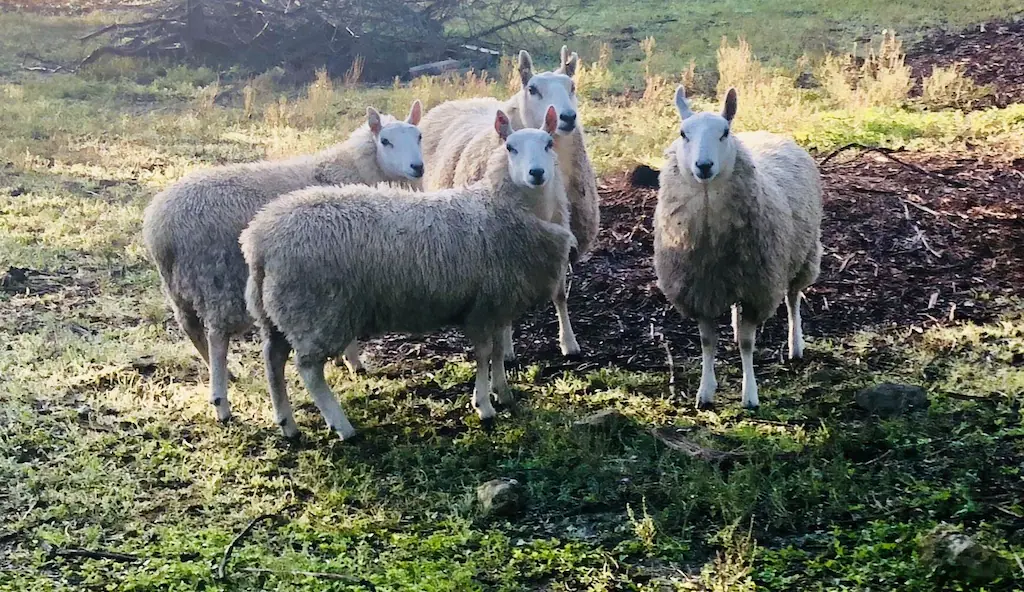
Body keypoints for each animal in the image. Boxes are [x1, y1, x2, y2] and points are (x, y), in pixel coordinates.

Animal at [142, 101, 424, 423]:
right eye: (386, 141)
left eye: (419, 137)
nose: (418, 167)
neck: (354, 167)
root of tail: (159, 225)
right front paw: (355, 363)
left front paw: (344, 360)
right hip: (215, 278)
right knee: (216, 337)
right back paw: (221, 402)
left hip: (179, 285)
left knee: (191, 328)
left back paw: (225, 375)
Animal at [240, 106, 575, 440]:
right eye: (510, 148)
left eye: (548, 144)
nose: (536, 173)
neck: (501, 206)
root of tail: (259, 237)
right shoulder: (482, 307)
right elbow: (482, 354)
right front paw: (484, 406)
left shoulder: (497, 304)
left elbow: (496, 352)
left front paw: (503, 393)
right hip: (314, 310)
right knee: (307, 369)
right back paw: (341, 426)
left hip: (277, 312)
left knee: (272, 360)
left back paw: (287, 423)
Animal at [417, 46, 600, 360]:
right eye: (532, 89)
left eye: (572, 86)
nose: (567, 117)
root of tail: (459, 101)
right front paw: (507, 348)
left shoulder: (563, 237)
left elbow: (560, 294)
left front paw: (569, 342)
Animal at [653, 86, 823, 410]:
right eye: (683, 133)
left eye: (724, 132)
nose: (703, 166)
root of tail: (766, 132)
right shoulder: (701, 290)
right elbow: (707, 342)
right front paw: (705, 392)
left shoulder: (758, 289)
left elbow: (748, 343)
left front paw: (750, 395)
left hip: (804, 253)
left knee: (793, 298)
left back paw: (795, 345)